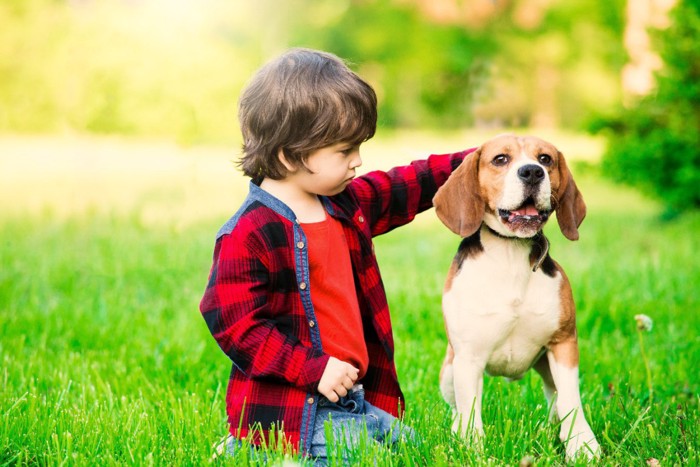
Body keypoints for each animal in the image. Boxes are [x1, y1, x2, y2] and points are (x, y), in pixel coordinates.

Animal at [432, 133, 600, 458]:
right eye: (500, 159)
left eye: (546, 158)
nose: (533, 172)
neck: (510, 252)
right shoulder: (468, 356)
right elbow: (470, 410)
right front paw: (473, 449)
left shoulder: (563, 343)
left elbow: (571, 401)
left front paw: (582, 445)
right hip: (449, 369)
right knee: (457, 407)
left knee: (554, 397)